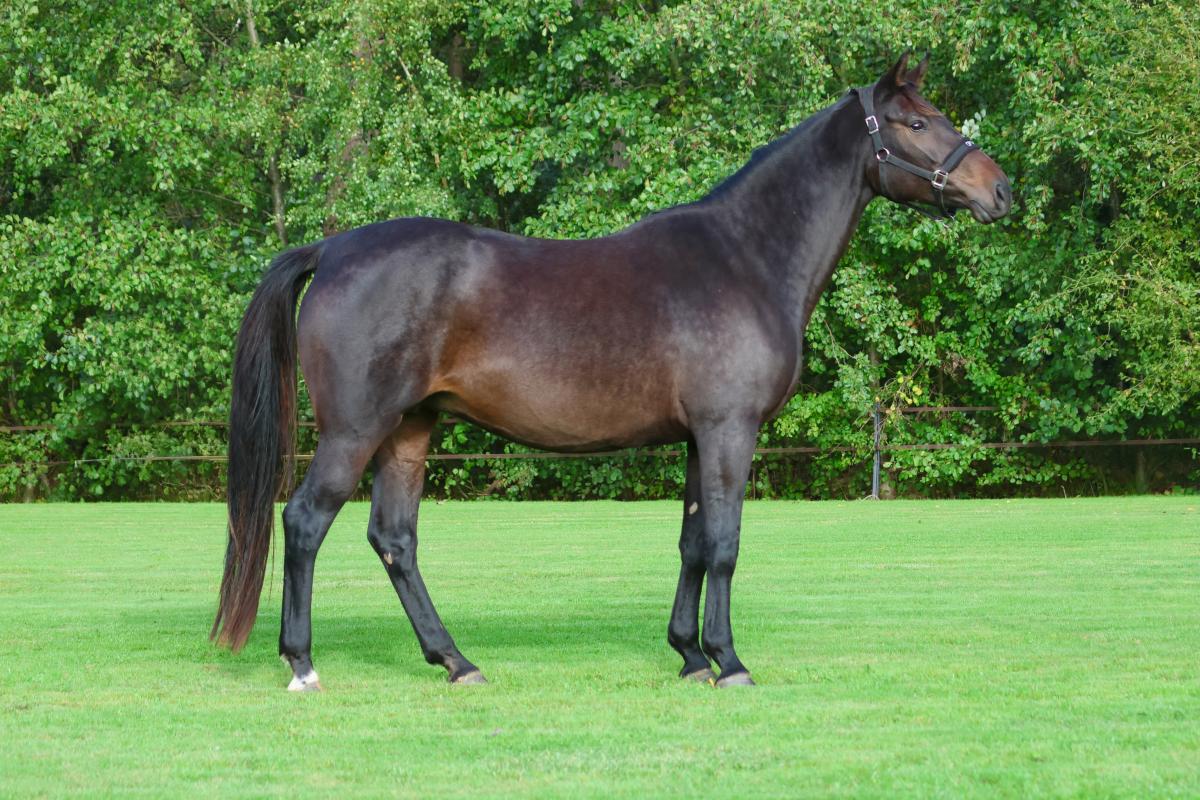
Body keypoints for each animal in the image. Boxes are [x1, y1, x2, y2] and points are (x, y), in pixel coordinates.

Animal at [212, 53, 1012, 690]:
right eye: (916, 123)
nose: (1000, 190)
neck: (746, 258)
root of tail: (334, 250)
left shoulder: (697, 437)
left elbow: (692, 543)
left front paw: (689, 656)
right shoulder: (729, 430)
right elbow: (725, 545)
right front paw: (730, 662)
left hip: (410, 429)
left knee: (395, 540)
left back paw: (456, 661)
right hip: (355, 430)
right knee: (304, 522)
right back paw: (303, 664)